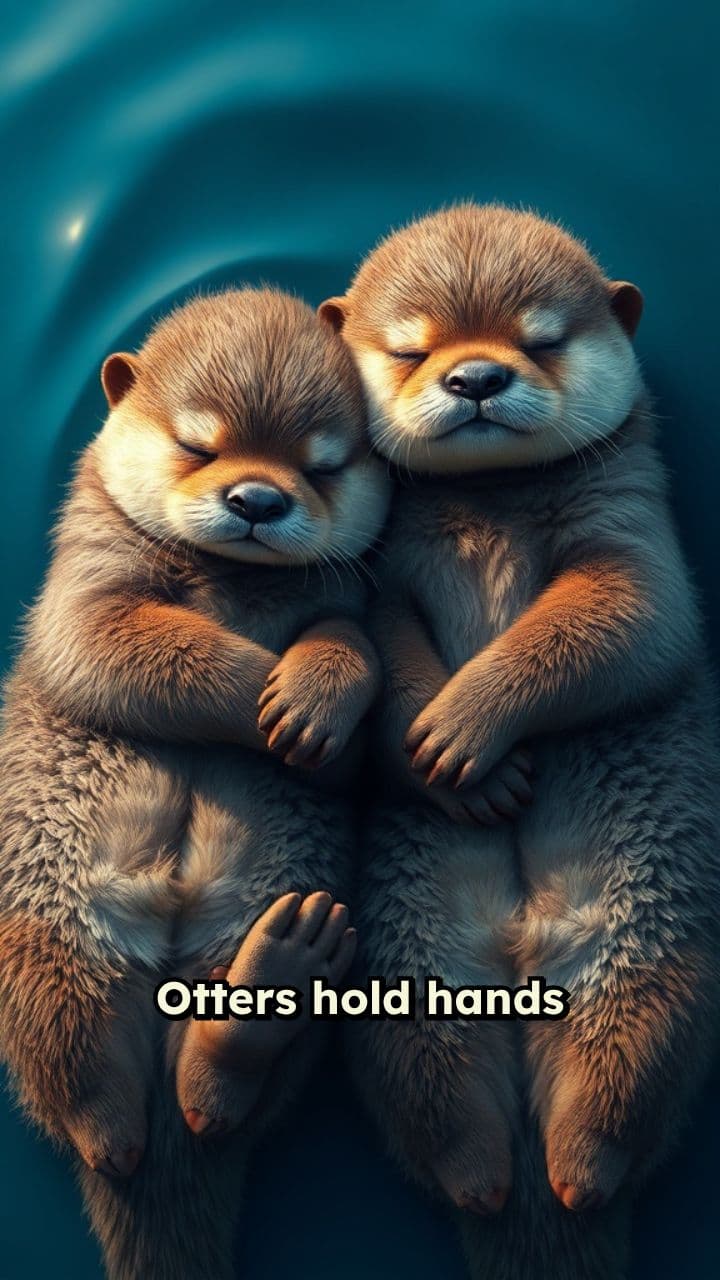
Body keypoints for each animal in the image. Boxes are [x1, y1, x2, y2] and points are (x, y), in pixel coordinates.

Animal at [0, 288, 390, 1279]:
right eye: (198, 445)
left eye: (322, 464)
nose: (256, 498)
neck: (230, 589)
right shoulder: (85, 586)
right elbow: (128, 646)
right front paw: (267, 692)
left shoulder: (351, 604)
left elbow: (350, 645)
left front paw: (314, 704)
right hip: (45, 932)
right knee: (73, 1066)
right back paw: (111, 1126)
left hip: (261, 916)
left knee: (216, 1097)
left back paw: (264, 992)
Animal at [320, 204, 720, 1278]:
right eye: (410, 349)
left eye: (540, 341)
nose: (475, 378)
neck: (491, 511)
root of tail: (520, 950)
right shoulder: (381, 577)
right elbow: (384, 651)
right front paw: (451, 765)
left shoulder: (634, 534)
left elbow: (620, 623)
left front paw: (468, 724)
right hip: (409, 973)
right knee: (441, 1102)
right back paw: (487, 1176)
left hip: (650, 958)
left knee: (623, 1082)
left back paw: (575, 1170)